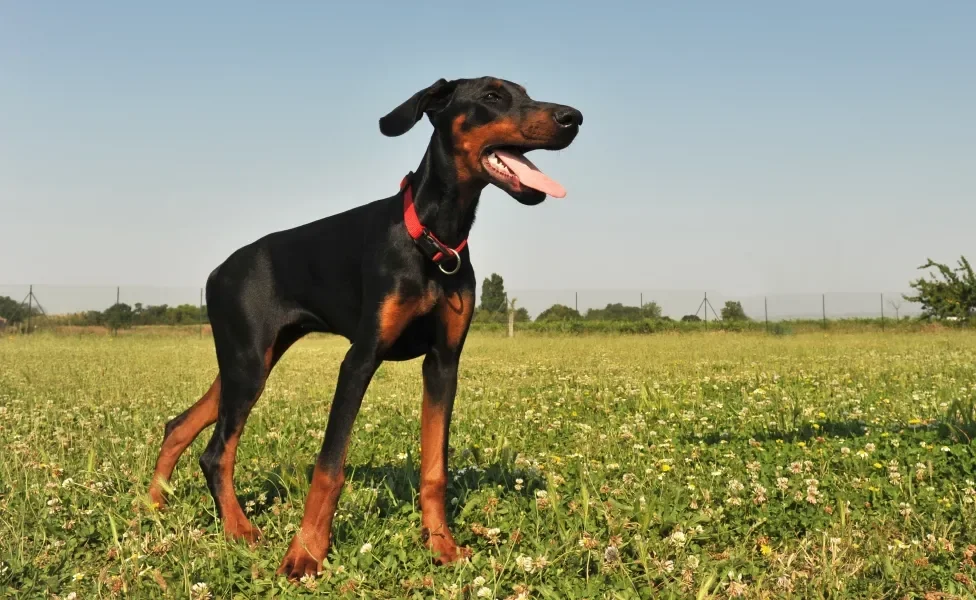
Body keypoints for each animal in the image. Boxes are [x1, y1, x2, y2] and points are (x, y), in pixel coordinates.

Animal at [149, 77, 584, 580]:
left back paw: (152, 506)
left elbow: (434, 468)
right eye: (492, 96)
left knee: (179, 425)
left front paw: (441, 545)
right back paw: (238, 530)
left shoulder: (443, 364)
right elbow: (329, 466)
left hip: (249, 361)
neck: (433, 235)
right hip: (248, 364)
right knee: (216, 451)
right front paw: (305, 554)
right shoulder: (360, 358)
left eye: (526, 93)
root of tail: (218, 272)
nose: (573, 118)